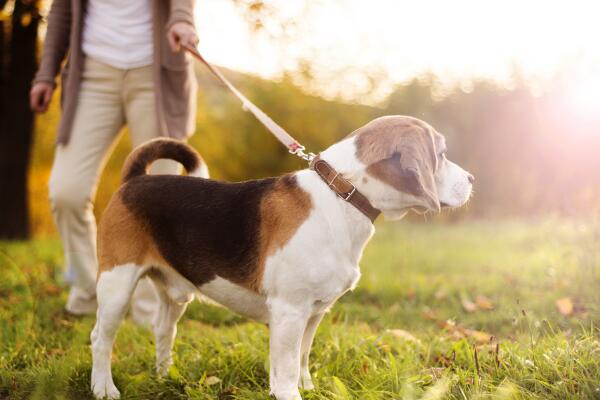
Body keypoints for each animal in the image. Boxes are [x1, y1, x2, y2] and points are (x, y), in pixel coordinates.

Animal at [90, 114, 474, 398]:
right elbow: (286, 368)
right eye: (440, 154)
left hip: (174, 294)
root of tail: (135, 180)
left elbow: (302, 357)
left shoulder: (315, 311)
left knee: (162, 330)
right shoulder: (289, 310)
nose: (472, 178)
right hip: (116, 285)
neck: (341, 194)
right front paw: (291, 393)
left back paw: (165, 376)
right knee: (100, 338)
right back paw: (103, 388)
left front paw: (309, 387)